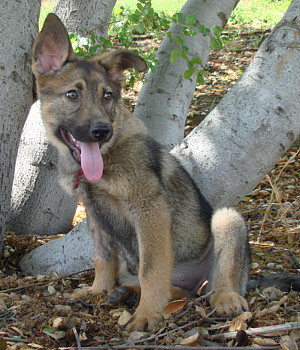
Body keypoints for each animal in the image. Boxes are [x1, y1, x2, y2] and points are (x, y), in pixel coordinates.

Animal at [32, 13, 251, 330]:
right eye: (72, 95)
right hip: (135, 264)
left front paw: (147, 314)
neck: (106, 156)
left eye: (108, 96)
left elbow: (152, 268)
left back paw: (225, 299)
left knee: (215, 283)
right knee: (177, 291)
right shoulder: (95, 213)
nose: (101, 131)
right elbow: (102, 258)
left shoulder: (149, 210)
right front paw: (99, 290)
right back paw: (125, 292)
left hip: (226, 220)